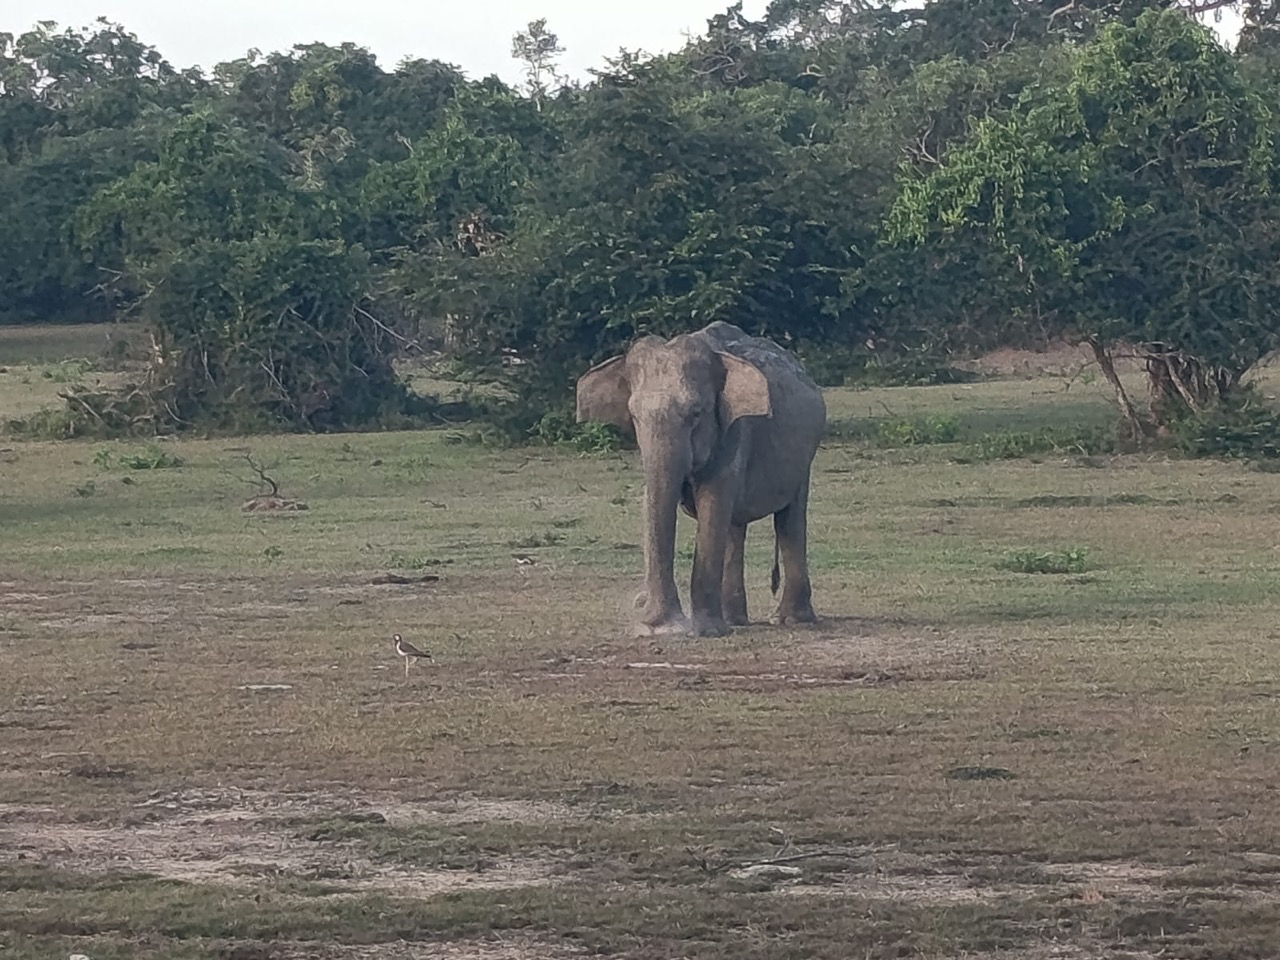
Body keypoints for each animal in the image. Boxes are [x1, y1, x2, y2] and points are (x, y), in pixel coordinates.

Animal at [575, 321, 827, 637]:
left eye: (696, 413)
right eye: (634, 416)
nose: (652, 619)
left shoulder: (734, 431)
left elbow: (712, 501)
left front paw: (704, 631)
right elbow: (652, 499)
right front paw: (657, 628)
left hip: (805, 454)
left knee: (789, 518)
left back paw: (789, 620)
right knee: (734, 525)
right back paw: (735, 620)